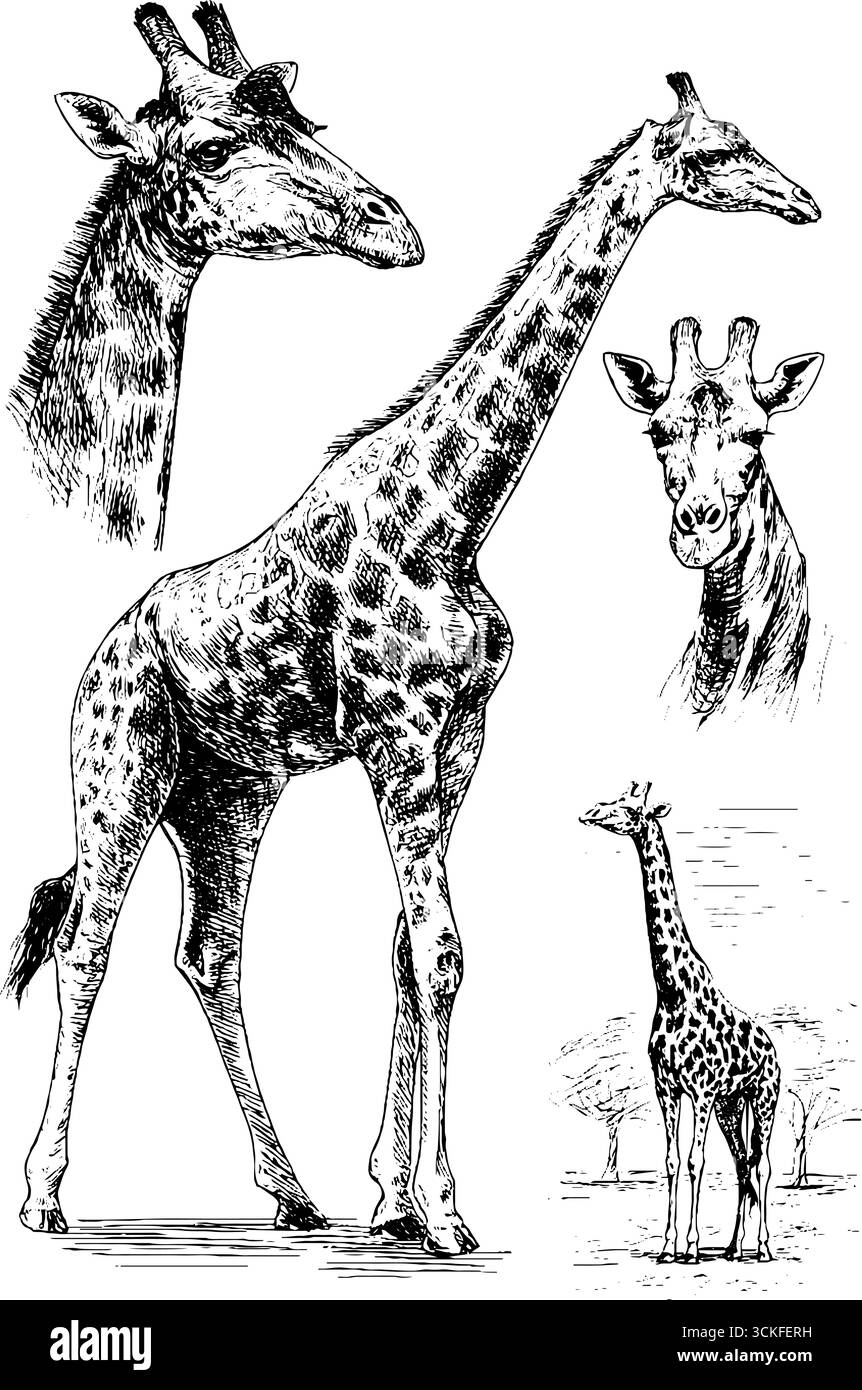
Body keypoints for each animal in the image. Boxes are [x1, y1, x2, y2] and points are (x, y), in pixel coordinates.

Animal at [580, 783, 780, 1263]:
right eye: (614, 798)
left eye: (631, 808)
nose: (591, 811)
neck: (672, 990)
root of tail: (775, 1050)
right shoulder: (667, 1087)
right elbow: (671, 1161)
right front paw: (667, 1246)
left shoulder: (702, 1091)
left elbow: (695, 1161)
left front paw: (689, 1246)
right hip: (733, 1104)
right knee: (743, 1162)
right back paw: (733, 1248)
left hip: (764, 1097)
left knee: (763, 1164)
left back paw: (763, 1247)